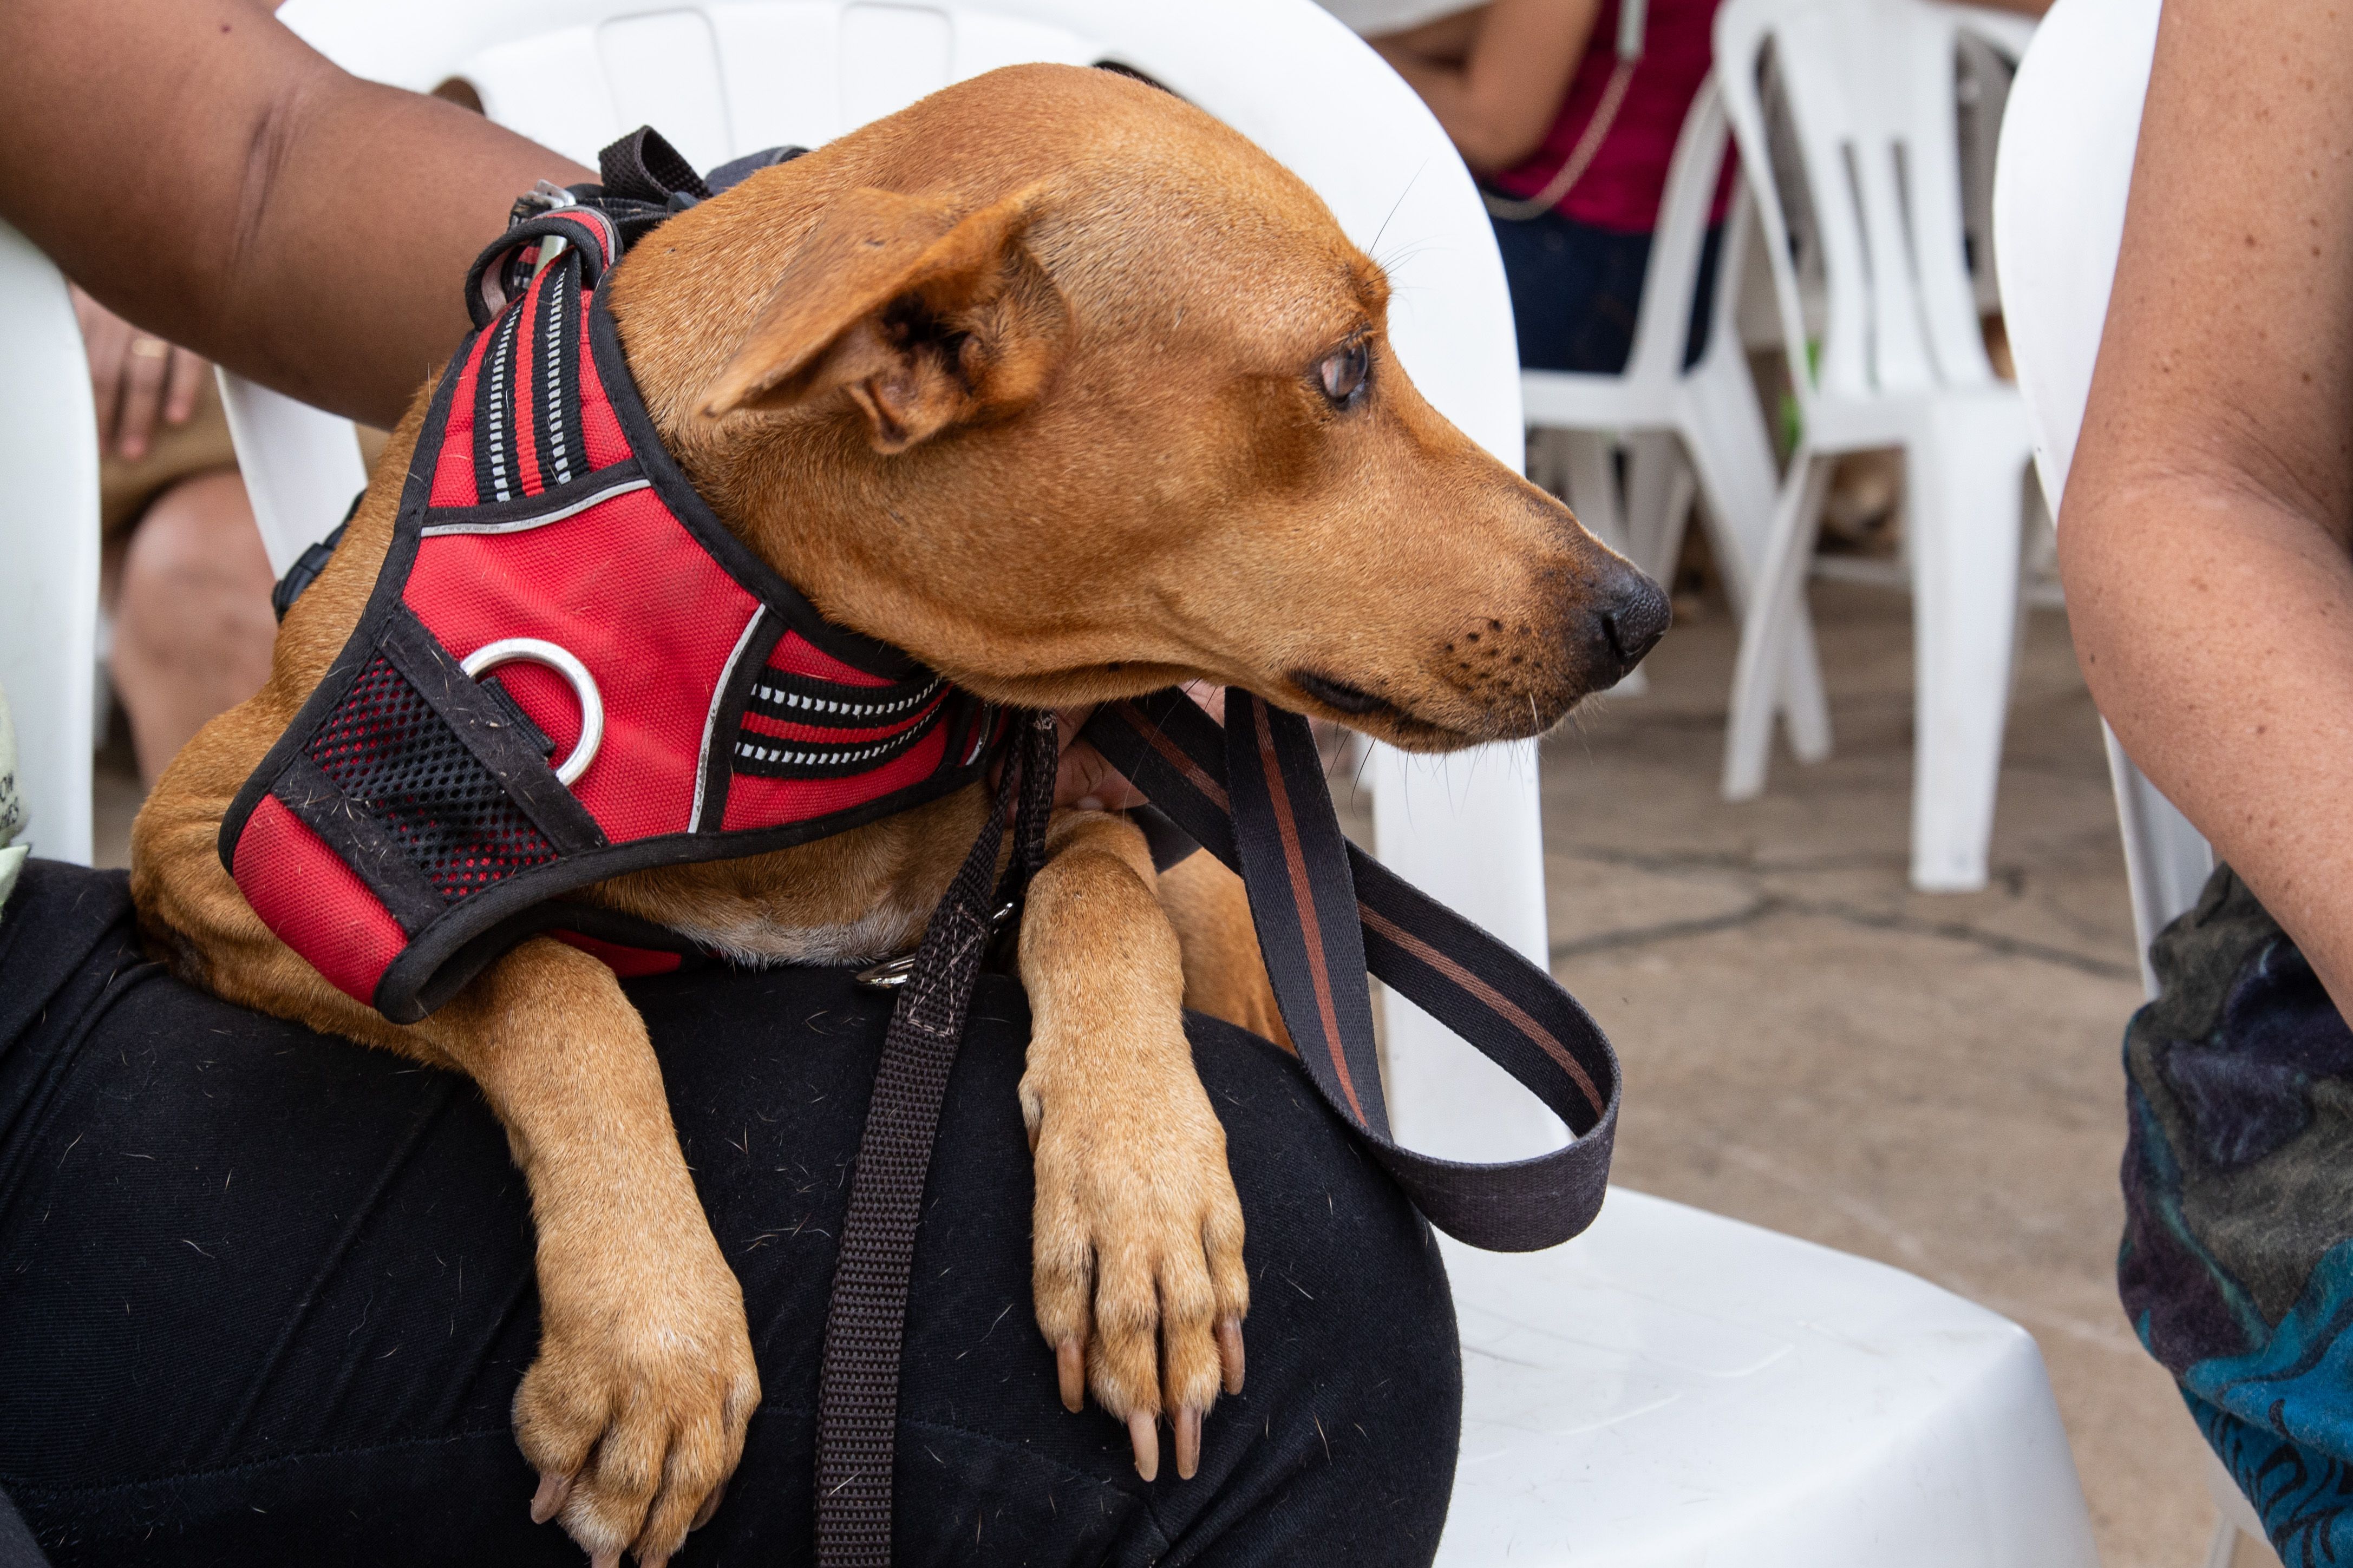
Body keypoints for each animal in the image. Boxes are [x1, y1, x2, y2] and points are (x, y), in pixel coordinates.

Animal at [133, 64, 1675, 1568]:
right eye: (1343, 370)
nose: (1642, 611)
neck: (814, 642)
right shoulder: (228, 851)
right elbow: (551, 977)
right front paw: (651, 1329)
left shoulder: (1071, 816)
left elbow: (1098, 890)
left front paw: (1138, 1190)